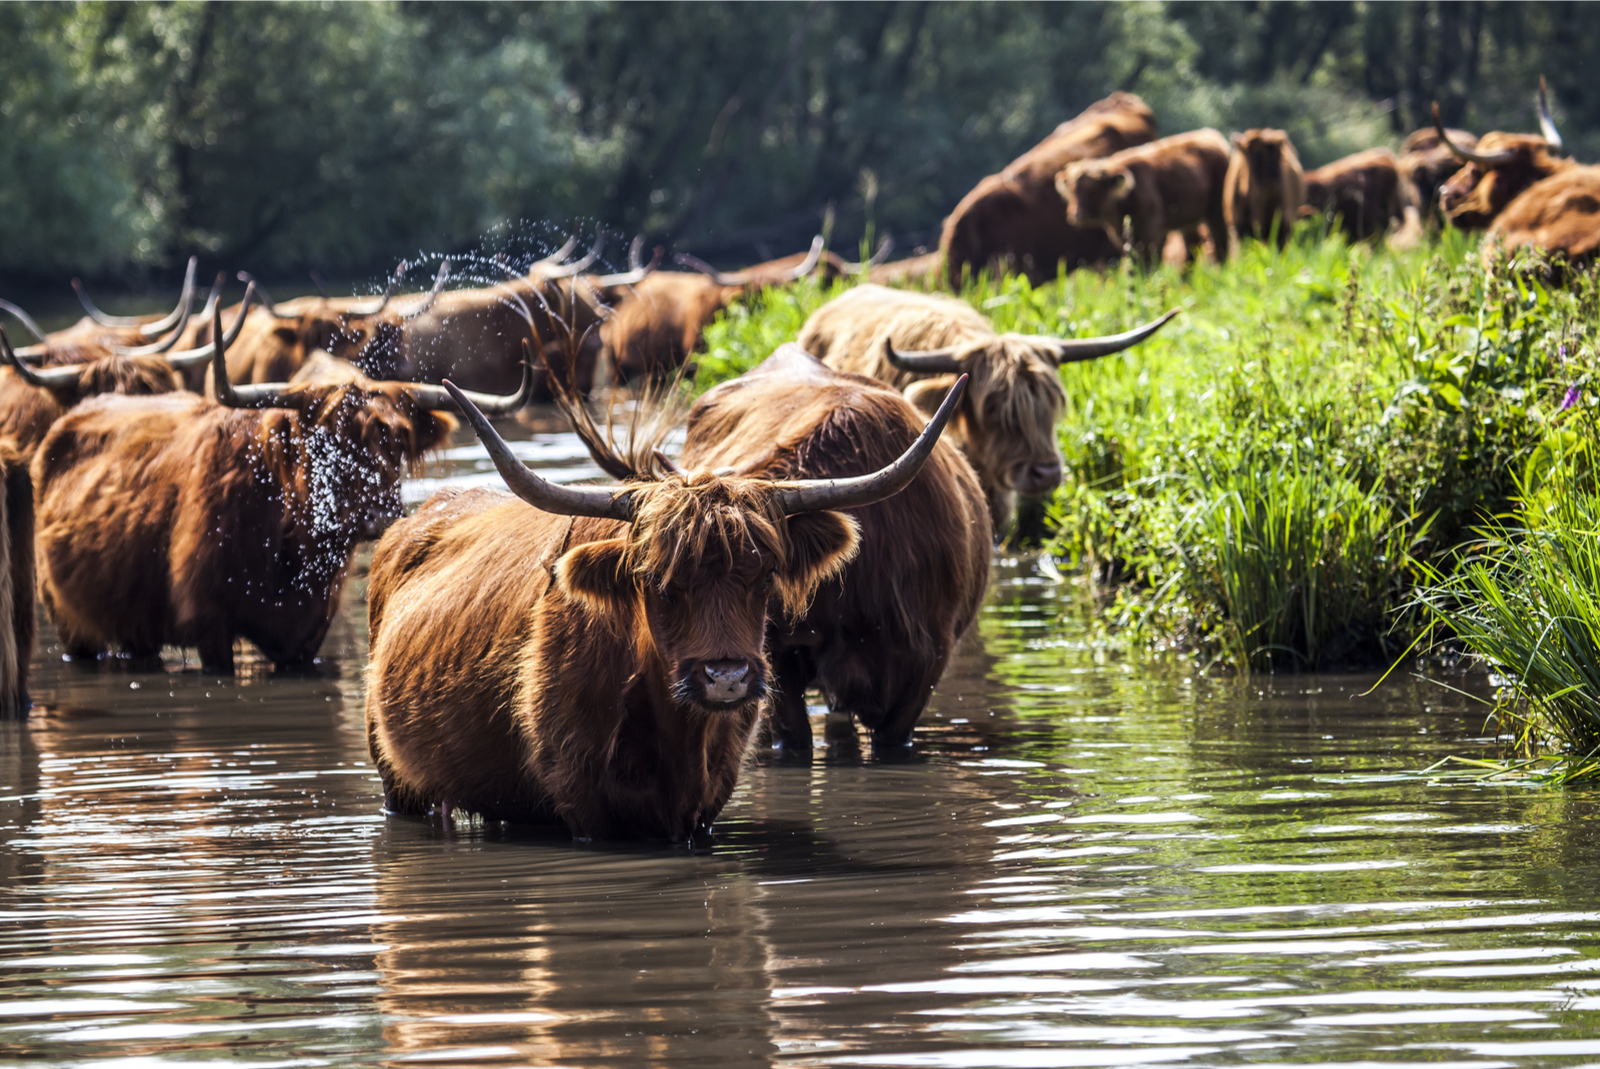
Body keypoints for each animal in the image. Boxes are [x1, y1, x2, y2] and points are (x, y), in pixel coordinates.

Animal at [363, 358, 960, 844]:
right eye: (656, 580)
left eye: (766, 575)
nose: (726, 676)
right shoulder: (581, 801)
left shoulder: (706, 803)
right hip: (394, 777)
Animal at [1062, 128, 1235, 267]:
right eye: (1072, 190)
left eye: (1093, 190)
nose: (1075, 214)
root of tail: (1209, 135)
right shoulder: (1124, 237)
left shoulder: (1149, 231)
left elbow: (1148, 260)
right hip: (1189, 220)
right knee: (1192, 248)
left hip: (1217, 212)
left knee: (1221, 242)